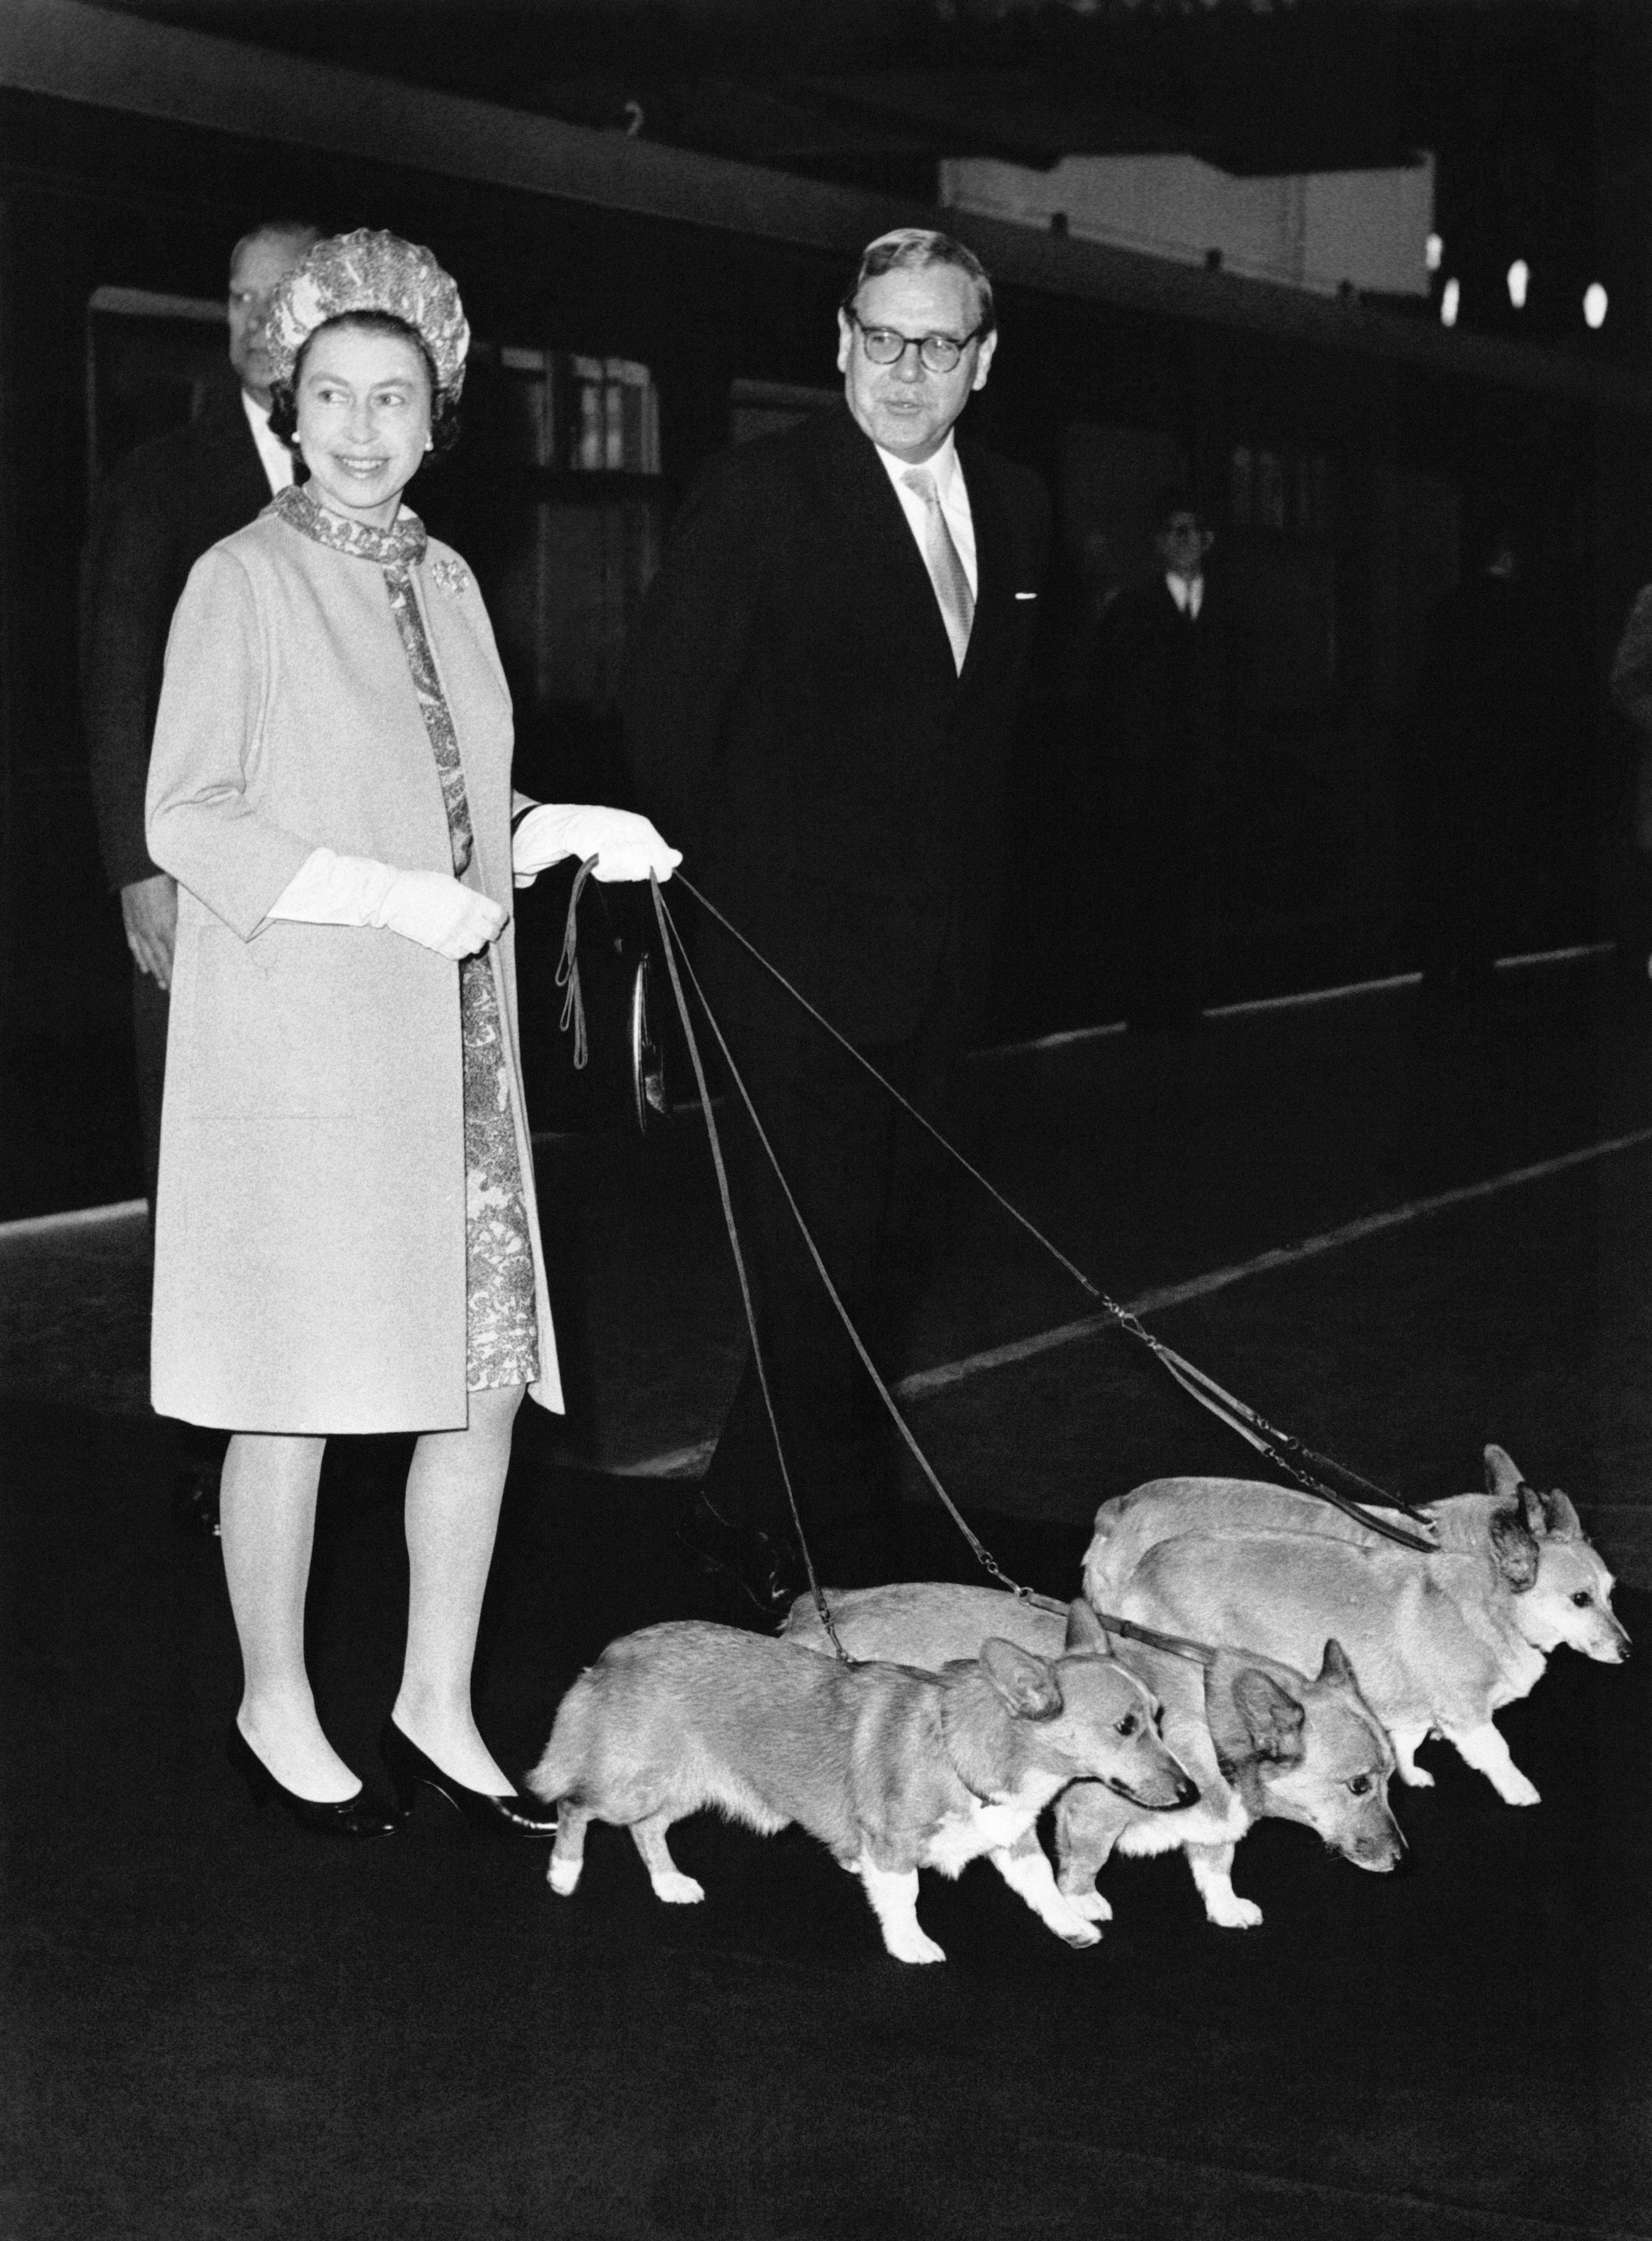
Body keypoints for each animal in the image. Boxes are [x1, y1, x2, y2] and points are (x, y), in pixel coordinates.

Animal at [522, 1613, 1192, 1963]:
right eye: (1125, 1726)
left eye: (1159, 1717)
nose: (1189, 1792)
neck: (963, 1748)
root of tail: (616, 1652)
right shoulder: (892, 1845)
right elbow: (905, 1895)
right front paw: (910, 1943)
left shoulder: (1012, 1836)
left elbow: (1043, 1884)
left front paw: (1068, 1925)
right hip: (634, 1784)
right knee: (575, 1803)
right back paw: (562, 1873)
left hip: (683, 1787)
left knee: (648, 1829)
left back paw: (670, 1883)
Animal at [780, 1577, 1398, 1927]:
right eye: (1358, 1784)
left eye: (1390, 1776)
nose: (1400, 1859)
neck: (1213, 1721)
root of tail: (814, 1611)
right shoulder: (1090, 1815)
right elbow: (1083, 1866)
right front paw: (1079, 1904)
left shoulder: (1211, 1824)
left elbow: (1215, 1866)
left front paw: (1226, 1909)